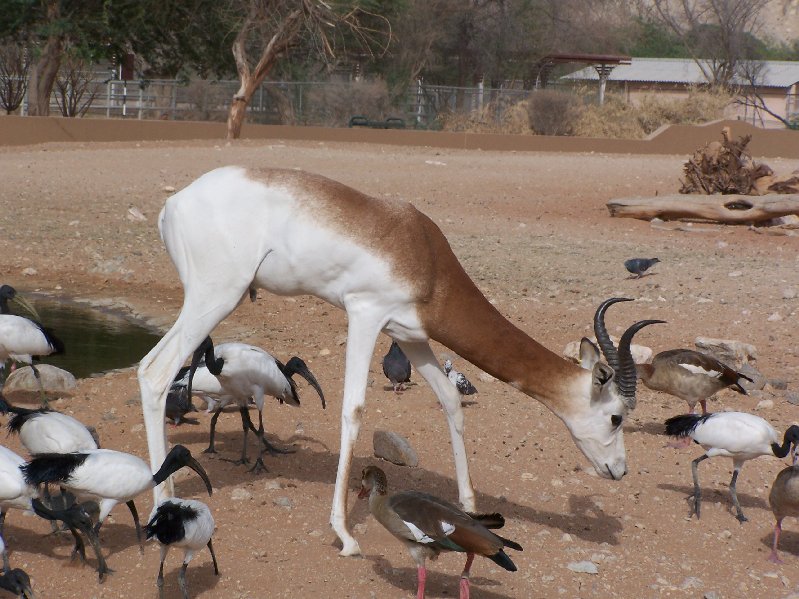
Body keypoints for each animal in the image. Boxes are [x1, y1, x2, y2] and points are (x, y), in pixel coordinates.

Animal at [137, 166, 644, 556]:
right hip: (214, 297)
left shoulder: (412, 337)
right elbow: (354, 411)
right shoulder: (365, 314)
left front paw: (470, 506)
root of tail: (174, 204)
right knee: (154, 372)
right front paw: (345, 535)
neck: (423, 253)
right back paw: (162, 501)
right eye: (617, 416)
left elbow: (450, 401)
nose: (619, 471)